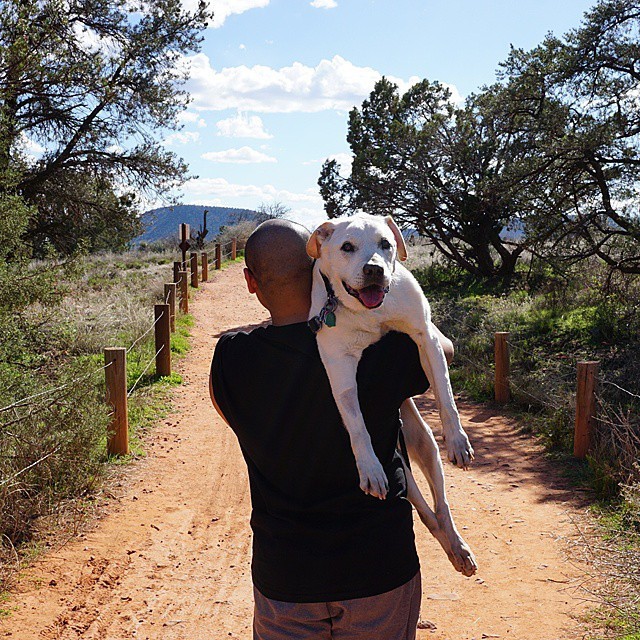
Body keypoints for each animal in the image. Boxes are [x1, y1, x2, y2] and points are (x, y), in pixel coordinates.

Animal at [308, 212, 478, 576]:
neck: (370, 313)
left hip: (422, 444)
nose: (374, 269)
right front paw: (369, 468)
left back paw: (458, 545)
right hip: (402, 461)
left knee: (440, 505)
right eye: (347, 247)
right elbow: (357, 426)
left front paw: (458, 439)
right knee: (426, 514)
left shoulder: (427, 337)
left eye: (386, 244)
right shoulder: (339, 366)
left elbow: (446, 395)